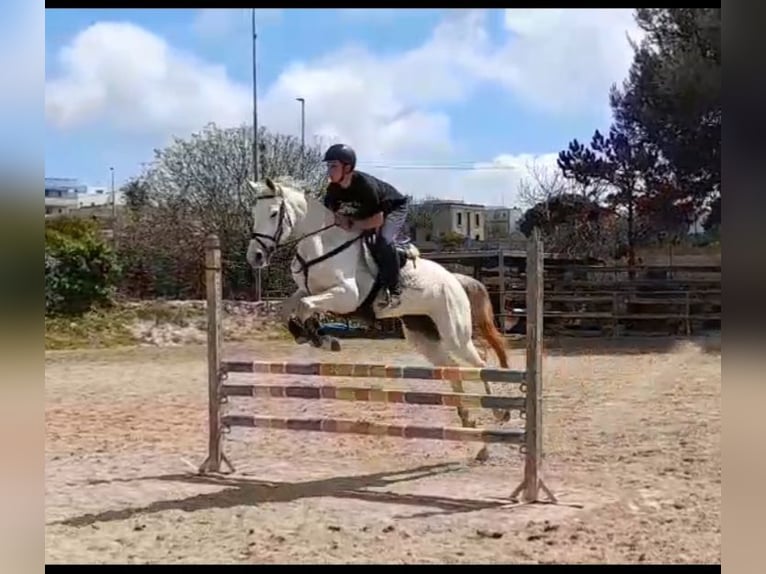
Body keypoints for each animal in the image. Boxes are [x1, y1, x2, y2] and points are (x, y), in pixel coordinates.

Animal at [245, 176, 513, 435]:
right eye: (253, 213)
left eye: (273, 213)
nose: (255, 257)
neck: (320, 245)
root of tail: (455, 278)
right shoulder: (311, 291)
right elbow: (289, 308)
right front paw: (312, 336)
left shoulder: (346, 296)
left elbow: (304, 306)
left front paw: (322, 339)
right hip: (422, 334)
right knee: (452, 367)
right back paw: (466, 419)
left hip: (455, 333)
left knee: (480, 362)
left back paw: (501, 412)